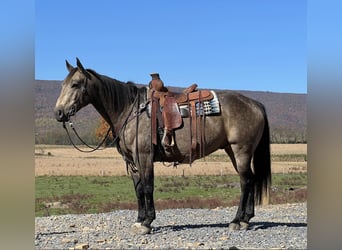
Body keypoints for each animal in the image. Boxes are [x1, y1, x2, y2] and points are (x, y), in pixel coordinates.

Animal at [54, 58, 272, 234]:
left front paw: (147, 223)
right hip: (232, 151)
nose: (58, 113)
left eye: (75, 84)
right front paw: (139, 220)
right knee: (251, 180)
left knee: (245, 182)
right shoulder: (132, 160)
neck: (130, 109)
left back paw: (236, 221)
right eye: (63, 84)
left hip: (241, 150)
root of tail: (255, 104)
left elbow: (148, 186)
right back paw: (246, 219)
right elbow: (138, 188)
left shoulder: (144, 156)